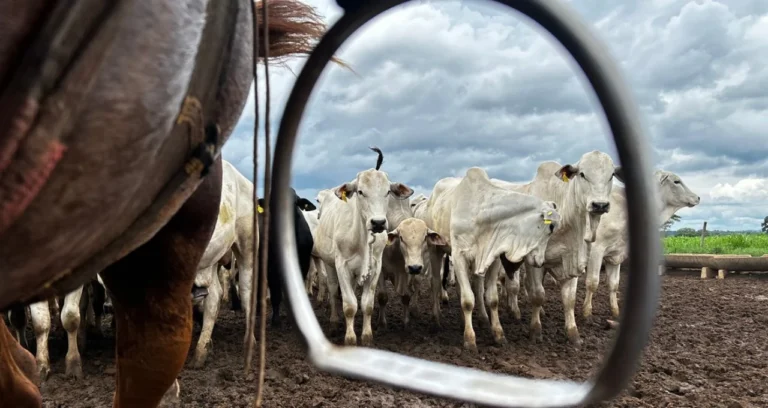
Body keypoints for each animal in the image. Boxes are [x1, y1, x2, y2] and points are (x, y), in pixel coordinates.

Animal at [0, 0, 335, 406]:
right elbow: (41, 321)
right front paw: (46, 364)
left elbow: (71, 317)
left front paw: (73, 362)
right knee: (213, 298)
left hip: (231, 248)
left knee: (244, 293)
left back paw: (244, 346)